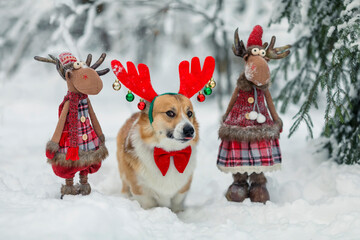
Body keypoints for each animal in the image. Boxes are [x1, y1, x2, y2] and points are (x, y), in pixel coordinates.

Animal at [111, 55, 215, 210]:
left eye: (189, 113)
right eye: (170, 113)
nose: (190, 130)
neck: (170, 153)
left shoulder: (181, 191)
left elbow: (177, 206)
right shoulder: (141, 191)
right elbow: (148, 204)